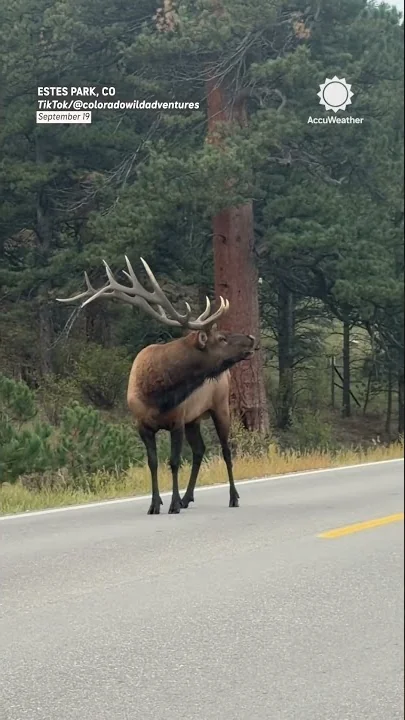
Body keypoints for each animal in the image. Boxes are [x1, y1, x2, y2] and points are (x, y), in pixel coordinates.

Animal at [56, 256, 257, 515]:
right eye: (222, 338)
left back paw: (233, 497)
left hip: (220, 406)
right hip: (194, 418)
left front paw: (172, 504)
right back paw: (187, 497)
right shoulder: (143, 425)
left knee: (226, 450)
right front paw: (155, 503)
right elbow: (153, 463)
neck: (158, 394)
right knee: (200, 450)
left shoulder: (177, 421)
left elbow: (173, 462)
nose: (251, 339)